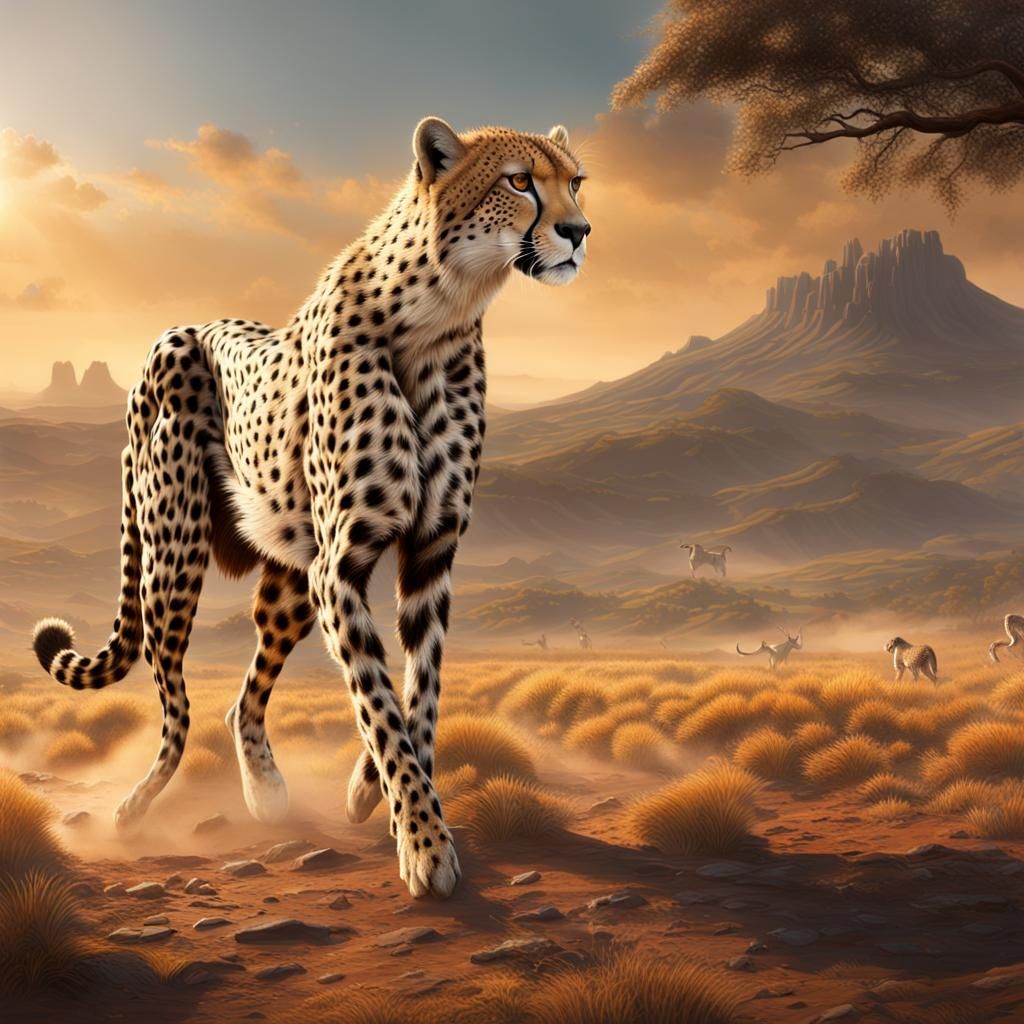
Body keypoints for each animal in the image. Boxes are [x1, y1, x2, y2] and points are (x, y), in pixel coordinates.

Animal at [31, 117, 590, 899]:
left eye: (577, 181)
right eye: (518, 181)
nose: (579, 231)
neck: (442, 313)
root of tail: (175, 331)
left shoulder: (430, 553)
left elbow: (420, 694)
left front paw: (375, 795)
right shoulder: (341, 566)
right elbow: (378, 703)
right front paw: (424, 846)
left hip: (289, 577)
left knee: (241, 701)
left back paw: (266, 793)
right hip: (175, 561)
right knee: (176, 707)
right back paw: (135, 809)